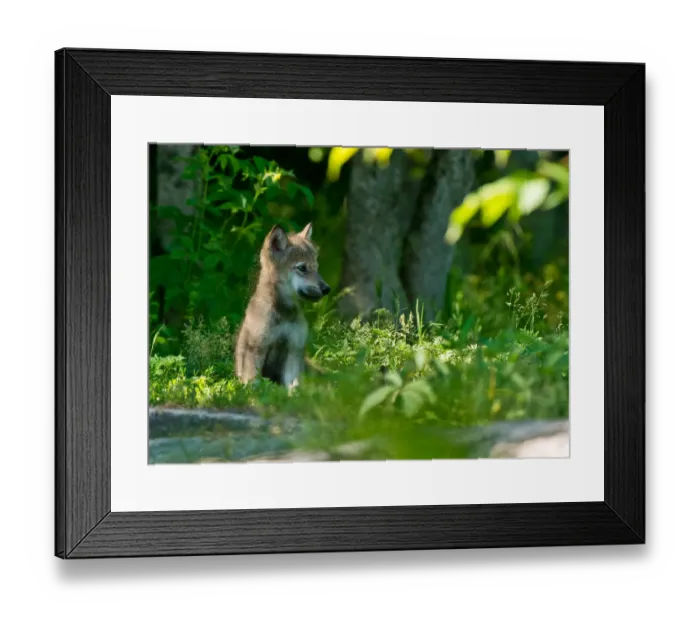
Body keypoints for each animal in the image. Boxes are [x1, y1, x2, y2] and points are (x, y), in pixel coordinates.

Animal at [235, 223, 330, 389]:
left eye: (316, 267)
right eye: (302, 268)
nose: (327, 289)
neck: (284, 314)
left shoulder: (293, 350)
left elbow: (294, 386)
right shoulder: (256, 350)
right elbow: (254, 384)